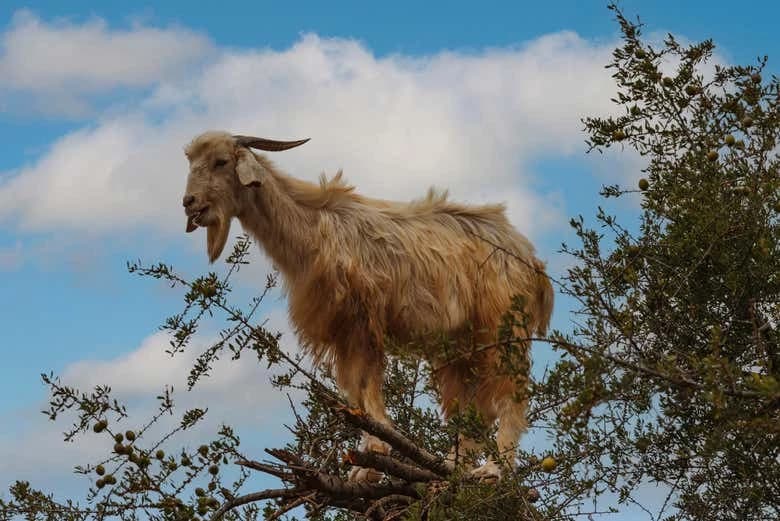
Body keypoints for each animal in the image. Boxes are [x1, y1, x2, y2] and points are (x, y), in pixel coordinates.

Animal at [181, 130, 554, 481]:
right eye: (191, 162)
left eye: (221, 162)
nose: (189, 202)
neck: (312, 233)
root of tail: (529, 256)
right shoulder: (344, 333)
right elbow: (354, 391)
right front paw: (365, 463)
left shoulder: (361, 323)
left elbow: (366, 386)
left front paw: (374, 459)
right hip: (462, 345)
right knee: (474, 405)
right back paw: (451, 466)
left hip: (504, 326)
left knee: (511, 393)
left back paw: (494, 470)